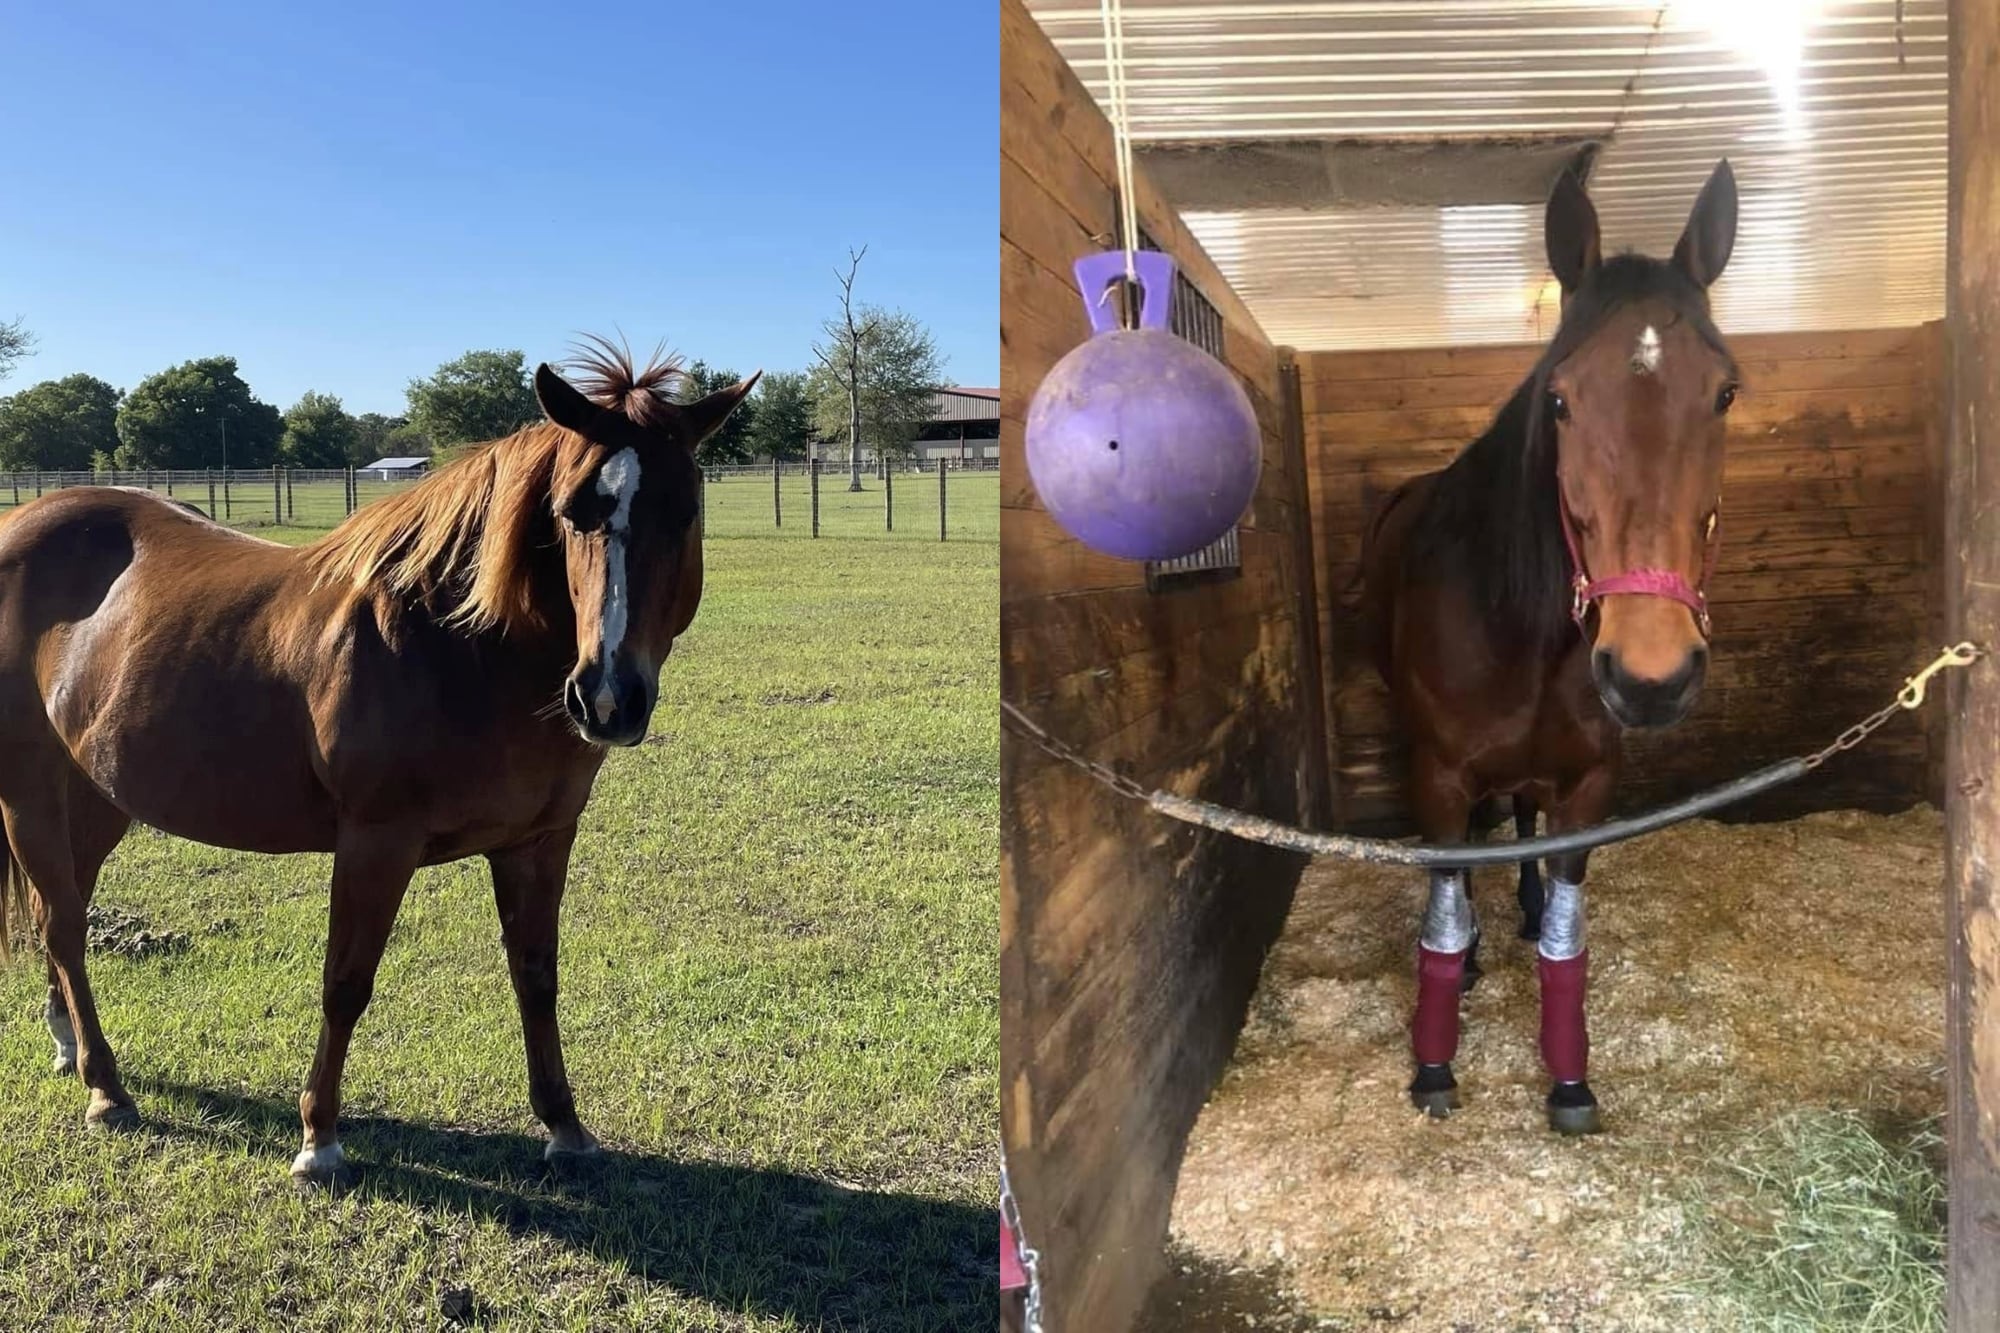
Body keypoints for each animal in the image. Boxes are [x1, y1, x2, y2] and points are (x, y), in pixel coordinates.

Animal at [0, 339, 757, 1181]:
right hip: (28, 791)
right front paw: (319, 1138)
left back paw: (69, 1044)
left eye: (685, 510)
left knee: (61, 911)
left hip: (97, 795)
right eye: (570, 513)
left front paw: (565, 1124)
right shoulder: (374, 842)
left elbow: (537, 975)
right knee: (64, 924)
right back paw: (106, 1087)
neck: (457, 648)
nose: (607, 696)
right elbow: (346, 981)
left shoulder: (539, 841)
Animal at [1359, 161, 1739, 1134]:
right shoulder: (1439, 775)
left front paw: (1569, 1076)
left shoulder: (1588, 782)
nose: (1652, 674)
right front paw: (1434, 1062)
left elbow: (1570, 939)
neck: (1517, 619)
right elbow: (1442, 911)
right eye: (1560, 398)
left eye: (1726, 392)